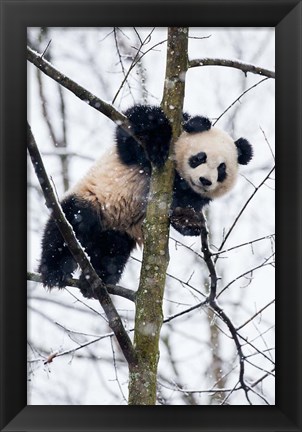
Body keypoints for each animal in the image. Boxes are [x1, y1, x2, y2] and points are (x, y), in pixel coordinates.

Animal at [38, 105, 252, 296]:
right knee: (69, 226)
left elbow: (183, 207)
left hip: (119, 232)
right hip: (93, 199)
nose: (205, 180)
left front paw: (189, 221)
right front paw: (158, 143)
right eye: (200, 157)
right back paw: (54, 271)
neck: (179, 178)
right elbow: (135, 126)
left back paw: (95, 282)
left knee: (112, 253)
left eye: (222, 169)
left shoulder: (192, 195)